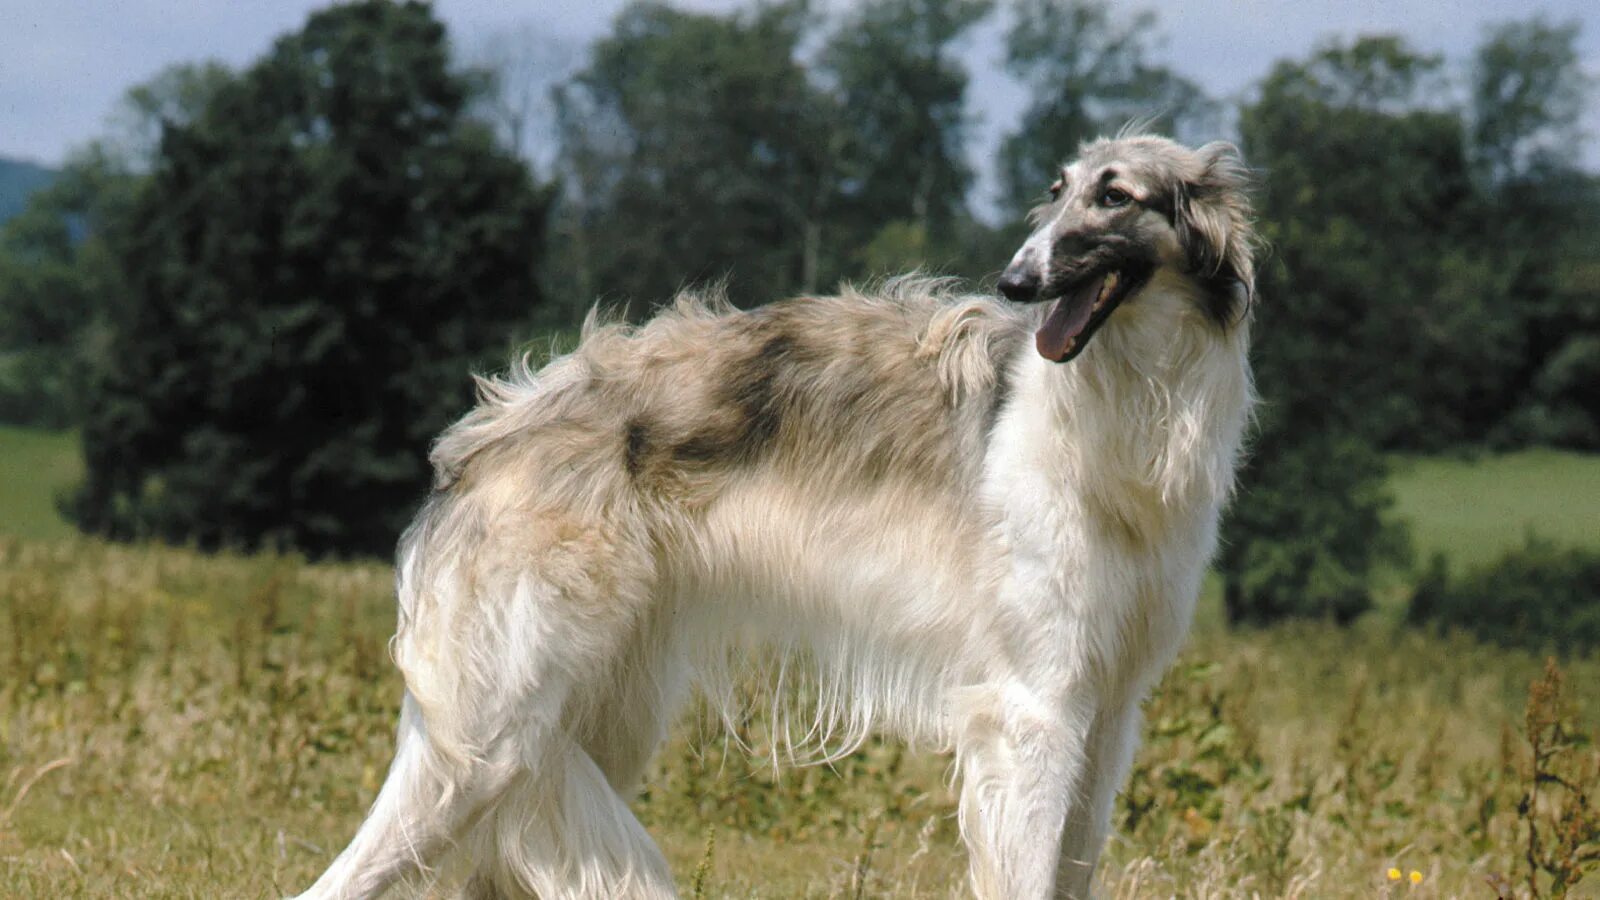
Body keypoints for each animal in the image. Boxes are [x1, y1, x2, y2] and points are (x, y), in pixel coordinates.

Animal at [294, 134, 1254, 896]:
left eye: (1116, 195)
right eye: (1056, 190)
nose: (1016, 280)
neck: (1121, 417)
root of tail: (481, 440)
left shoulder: (1107, 710)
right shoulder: (1032, 709)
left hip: (589, 722)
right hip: (489, 739)